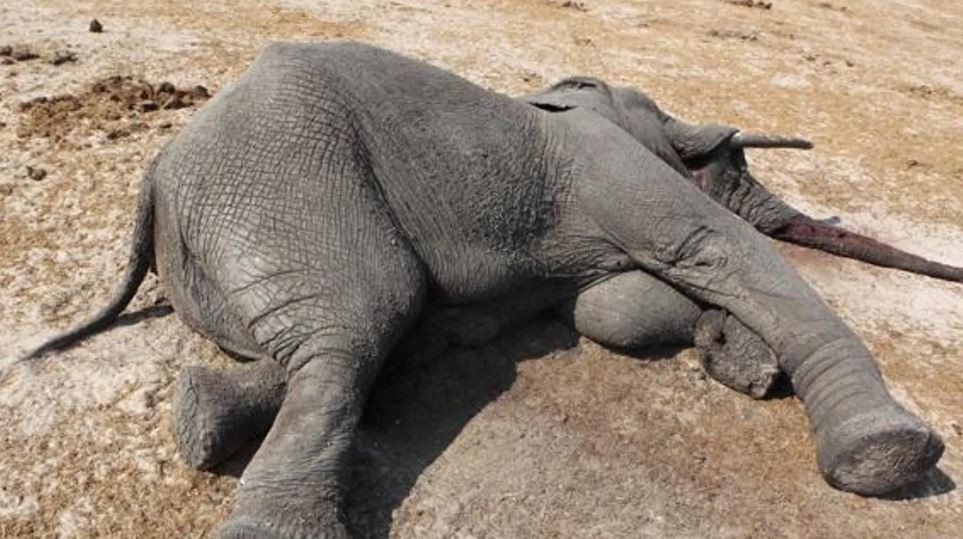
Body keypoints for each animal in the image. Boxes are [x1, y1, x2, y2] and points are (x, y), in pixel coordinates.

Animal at [26, 42, 958, 538]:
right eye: (728, 165)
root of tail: (157, 170)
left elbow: (608, 307)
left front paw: (742, 363)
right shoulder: (606, 166)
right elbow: (711, 248)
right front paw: (883, 456)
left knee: (353, 345)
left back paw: (200, 416)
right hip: (282, 178)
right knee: (357, 328)